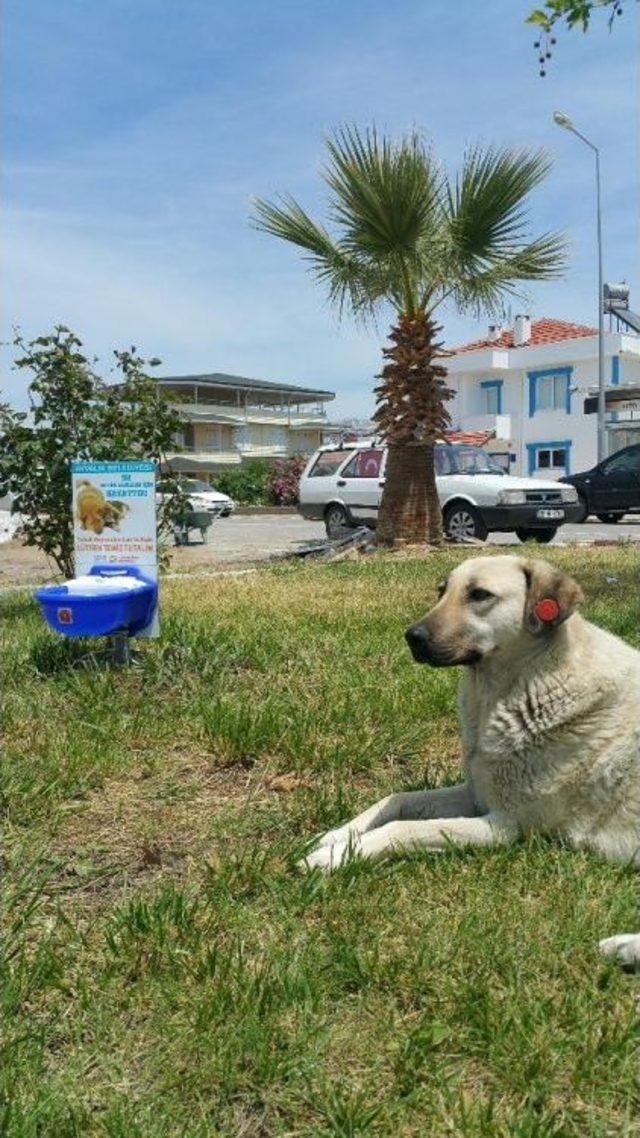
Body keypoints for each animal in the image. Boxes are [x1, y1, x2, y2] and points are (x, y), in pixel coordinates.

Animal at [305, 555, 637, 965]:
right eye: (441, 590)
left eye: (479, 595)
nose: (412, 637)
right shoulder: (475, 792)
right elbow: (395, 801)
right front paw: (335, 835)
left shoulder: (505, 826)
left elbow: (405, 829)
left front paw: (336, 857)